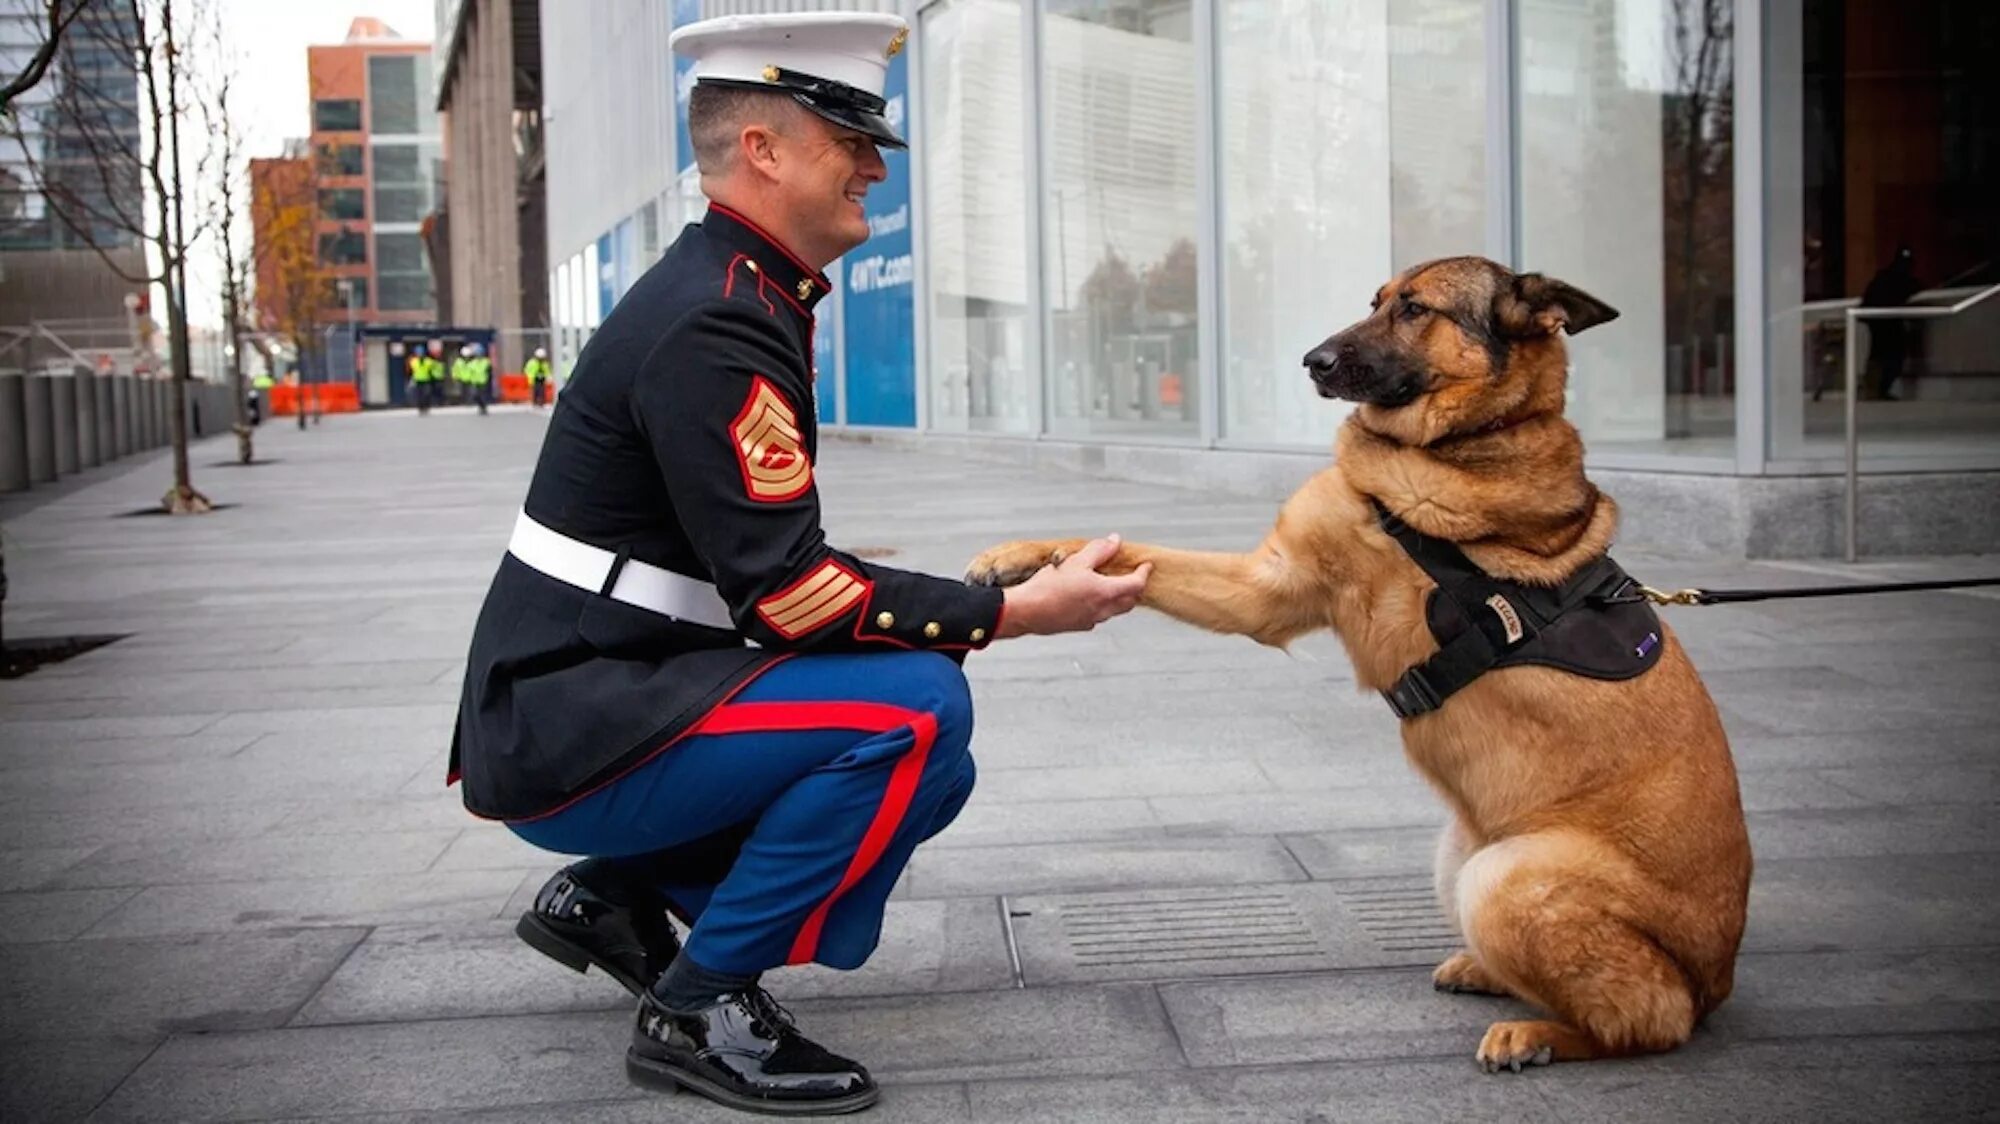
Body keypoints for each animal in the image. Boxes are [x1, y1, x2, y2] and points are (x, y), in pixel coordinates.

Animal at [968, 258, 1752, 1072]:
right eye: (1373, 301)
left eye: (1414, 309)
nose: (1311, 361)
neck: (1465, 438)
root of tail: (1714, 980)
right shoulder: (1266, 588)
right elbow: (1128, 551)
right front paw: (1024, 557)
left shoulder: (1273, 591)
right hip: (1458, 857)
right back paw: (1487, 975)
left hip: (1505, 878)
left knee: (1645, 1021)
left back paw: (1537, 1035)